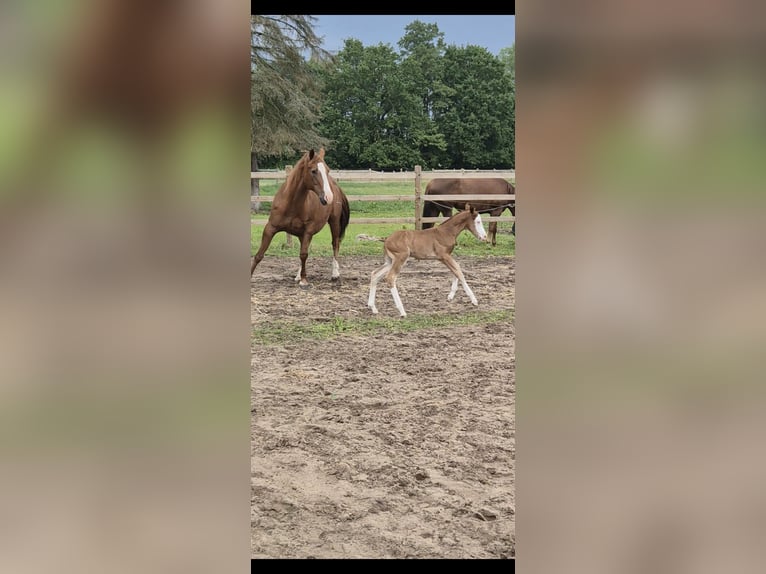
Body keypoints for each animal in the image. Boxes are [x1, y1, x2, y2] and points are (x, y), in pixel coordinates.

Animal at [250, 148, 351, 288]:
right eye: (313, 171)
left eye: (327, 170)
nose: (328, 197)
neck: (292, 204)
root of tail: (335, 186)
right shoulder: (270, 228)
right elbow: (259, 255)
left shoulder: (308, 230)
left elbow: (303, 254)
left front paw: (304, 280)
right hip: (301, 233)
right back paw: (298, 275)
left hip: (334, 222)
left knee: (335, 244)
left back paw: (335, 274)